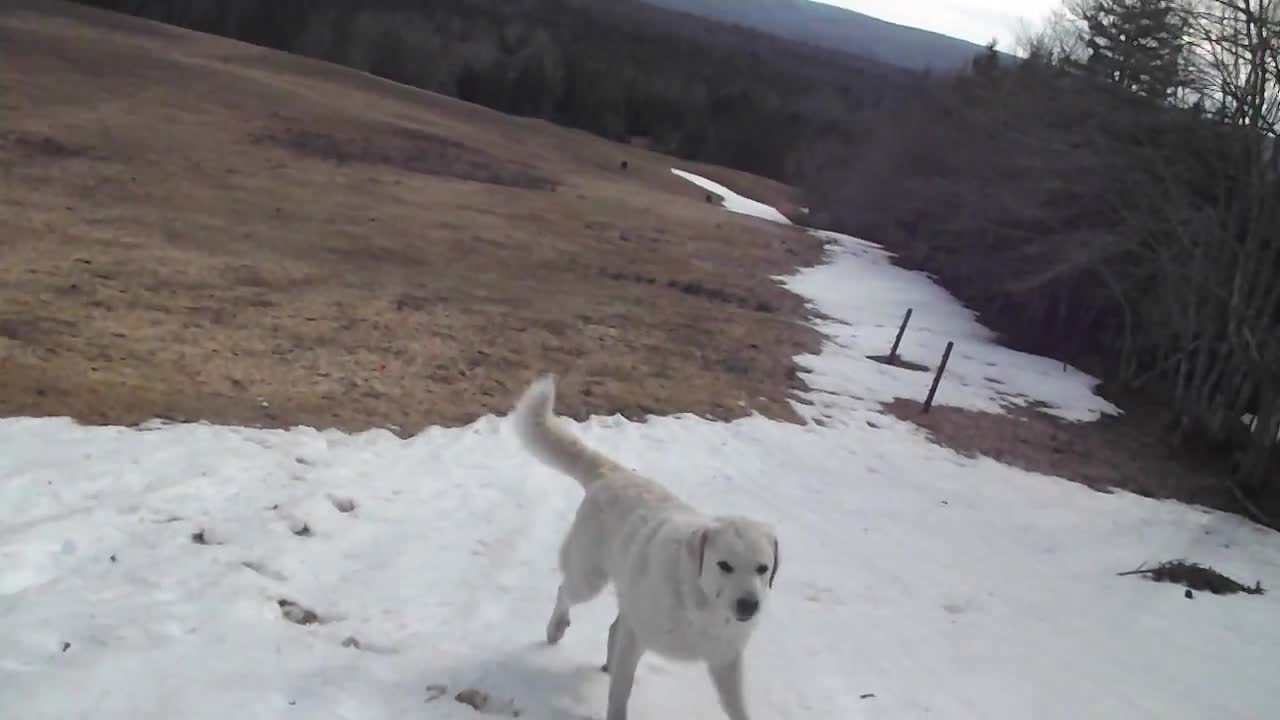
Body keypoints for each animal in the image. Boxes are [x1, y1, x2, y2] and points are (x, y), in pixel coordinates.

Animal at [509, 376, 778, 717]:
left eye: (762, 568)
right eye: (724, 565)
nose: (749, 605)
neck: (698, 601)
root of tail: (612, 473)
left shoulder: (726, 662)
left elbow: (739, 709)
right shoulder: (635, 638)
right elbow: (620, 695)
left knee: (611, 625)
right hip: (590, 578)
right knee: (565, 592)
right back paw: (555, 628)